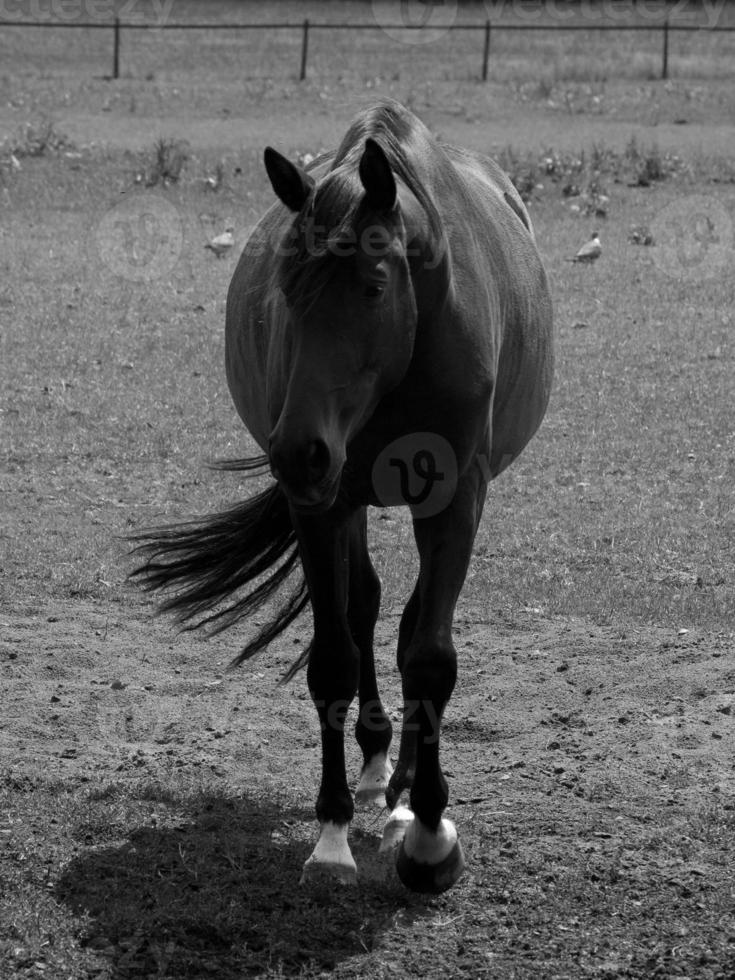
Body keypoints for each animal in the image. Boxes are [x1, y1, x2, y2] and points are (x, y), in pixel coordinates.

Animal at [131, 99, 552, 896]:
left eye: (374, 286)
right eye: (286, 287)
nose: (297, 450)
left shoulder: (455, 501)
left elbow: (431, 658)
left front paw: (429, 836)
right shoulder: (321, 504)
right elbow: (332, 655)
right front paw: (330, 835)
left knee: (411, 623)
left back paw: (403, 790)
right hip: (345, 496)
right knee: (366, 607)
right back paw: (377, 764)